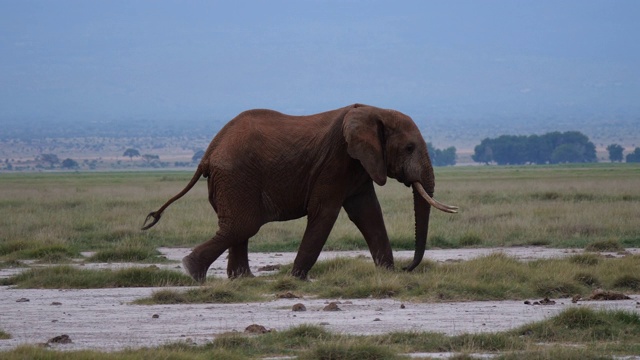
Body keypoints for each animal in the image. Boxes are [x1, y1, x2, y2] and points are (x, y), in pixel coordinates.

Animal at [142, 104, 458, 282]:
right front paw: (299, 280)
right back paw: (192, 272)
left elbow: (368, 213)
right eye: (409, 148)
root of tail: (209, 151)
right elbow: (326, 213)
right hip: (236, 177)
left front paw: (387, 274)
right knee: (242, 225)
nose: (407, 268)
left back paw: (242, 280)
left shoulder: (359, 165)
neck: (375, 111)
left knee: (238, 227)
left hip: (230, 180)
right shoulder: (336, 161)